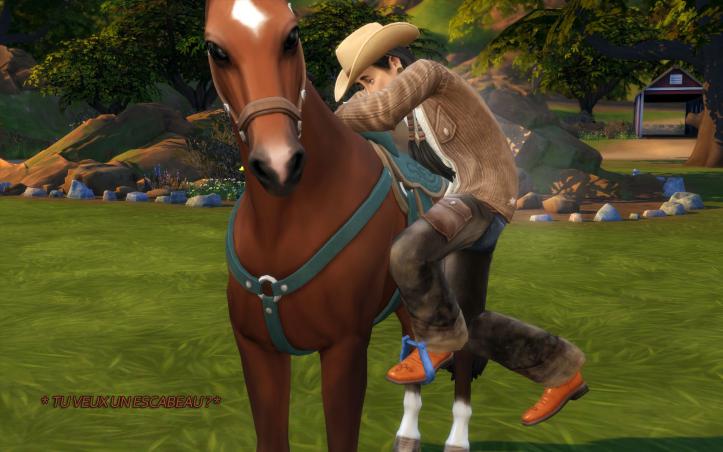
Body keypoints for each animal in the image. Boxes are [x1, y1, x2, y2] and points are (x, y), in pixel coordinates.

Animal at [205, 1, 494, 450]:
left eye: (292, 36)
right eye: (216, 50)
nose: (279, 165)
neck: (284, 225)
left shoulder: (346, 347)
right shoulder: (257, 350)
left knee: (462, 360)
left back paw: (457, 440)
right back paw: (406, 436)